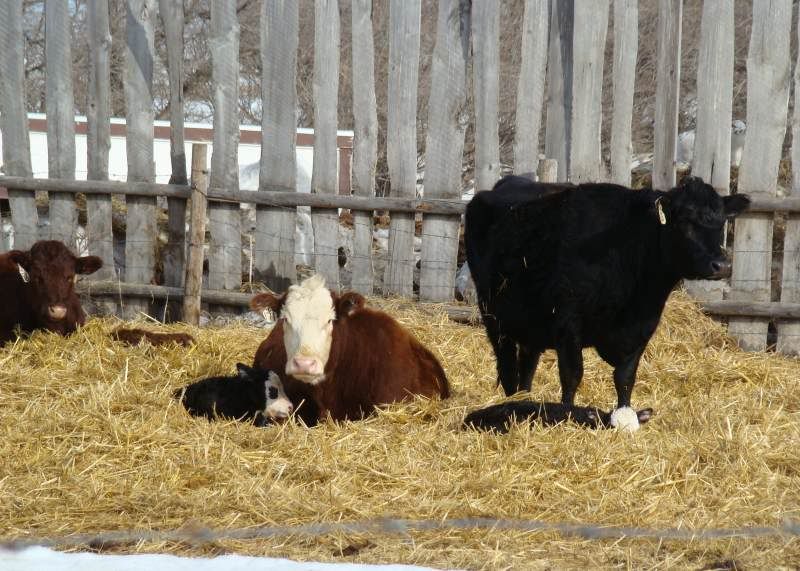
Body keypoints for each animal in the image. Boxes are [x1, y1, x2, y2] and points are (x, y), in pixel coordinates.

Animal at [465, 175, 750, 431]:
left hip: (530, 323)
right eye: (686, 220)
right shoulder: (568, 322)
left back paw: (524, 399)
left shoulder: (643, 327)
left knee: (527, 365)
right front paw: (566, 416)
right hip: (494, 317)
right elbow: (572, 375)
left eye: (722, 222)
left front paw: (625, 412)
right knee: (507, 368)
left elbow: (625, 378)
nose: (721, 265)